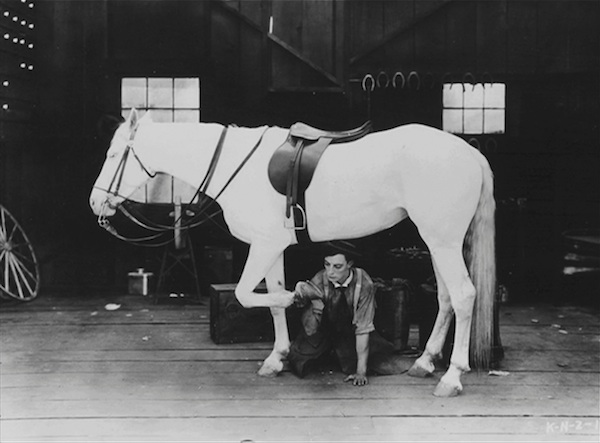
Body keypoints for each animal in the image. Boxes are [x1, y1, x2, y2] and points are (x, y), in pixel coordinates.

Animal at [89, 109, 494, 398]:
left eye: (113, 154)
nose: (95, 202)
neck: (236, 165)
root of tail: (470, 153)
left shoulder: (264, 246)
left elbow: (249, 294)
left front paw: (301, 298)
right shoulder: (271, 246)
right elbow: (269, 300)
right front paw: (278, 355)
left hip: (442, 241)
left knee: (463, 296)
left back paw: (452, 377)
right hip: (438, 242)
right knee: (445, 298)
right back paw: (425, 362)